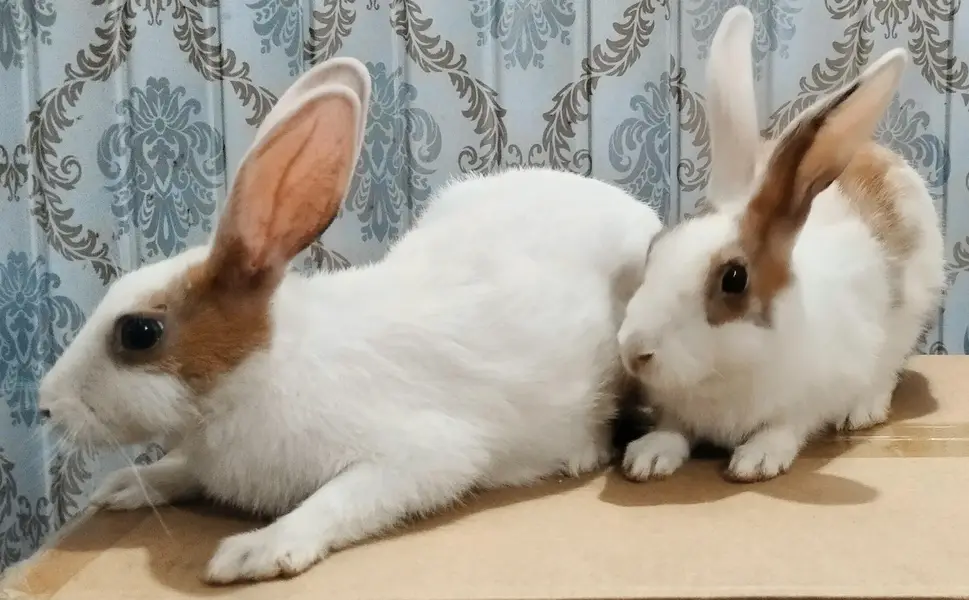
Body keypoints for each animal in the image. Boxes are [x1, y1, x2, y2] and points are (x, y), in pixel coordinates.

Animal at [37, 56, 662, 584]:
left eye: (139, 332)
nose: (46, 405)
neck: (262, 369)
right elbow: (180, 469)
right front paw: (125, 487)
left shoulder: (422, 456)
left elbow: (337, 500)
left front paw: (254, 552)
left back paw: (582, 453)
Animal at [614, 6, 946, 484]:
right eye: (654, 249)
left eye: (734, 279)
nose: (633, 351)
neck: (723, 373)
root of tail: (881, 153)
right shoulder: (675, 408)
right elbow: (673, 427)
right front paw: (648, 457)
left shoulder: (815, 394)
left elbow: (787, 424)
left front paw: (757, 460)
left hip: (911, 312)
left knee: (888, 367)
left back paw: (862, 410)